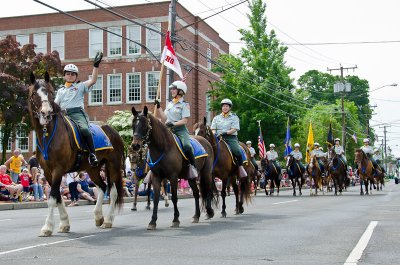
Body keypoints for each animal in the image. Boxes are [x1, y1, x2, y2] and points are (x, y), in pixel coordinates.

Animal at [28, 72, 123, 235]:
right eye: (34, 93)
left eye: (50, 92)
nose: (46, 113)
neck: (49, 134)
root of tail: (113, 130)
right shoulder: (47, 172)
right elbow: (58, 196)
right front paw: (64, 223)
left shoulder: (58, 169)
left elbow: (52, 198)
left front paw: (48, 227)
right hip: (93, 169)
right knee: (102, 187)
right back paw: (99, 216)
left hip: (113, 166)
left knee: (113, 192)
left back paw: (108, 220)